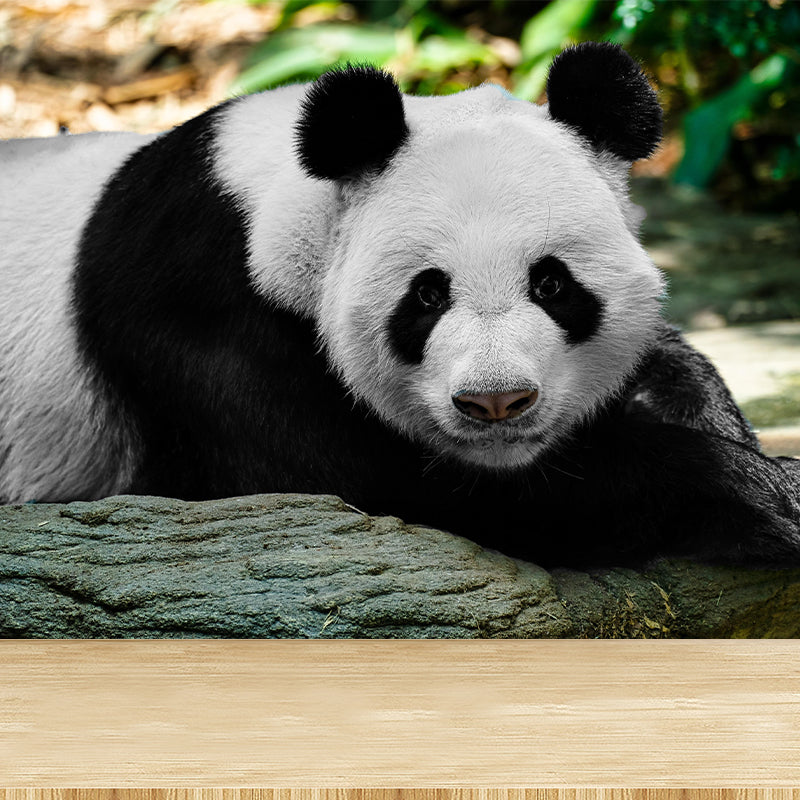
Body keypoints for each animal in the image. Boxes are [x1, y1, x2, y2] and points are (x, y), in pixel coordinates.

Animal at [1, 41, 799, 567]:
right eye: (427, 294)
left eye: (552, 285)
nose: (496, 402)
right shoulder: (201, 309)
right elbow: (366, 485)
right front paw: (757, 494)